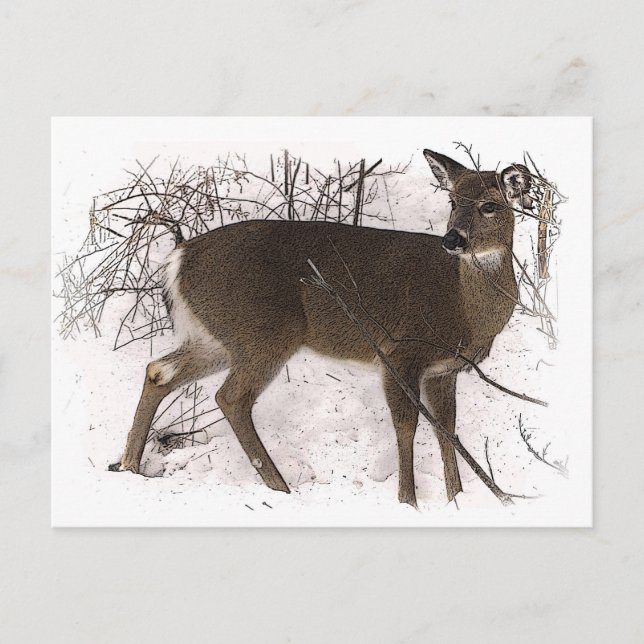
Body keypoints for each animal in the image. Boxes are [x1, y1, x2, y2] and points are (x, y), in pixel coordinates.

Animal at [109, 149, 532, 508]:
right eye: (452, 202)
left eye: (490, 205)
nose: (452, 239)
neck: (462, 306)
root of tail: (179, 259)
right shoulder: (399, 352)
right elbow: (407, 426)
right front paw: (408, 502)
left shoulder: (445, 369)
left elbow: (447, 429)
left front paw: (456, 500)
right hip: (264, 332)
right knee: (231, 397)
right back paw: (280, 488)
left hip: (218, 335)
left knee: (159, 371)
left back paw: (129, 465)